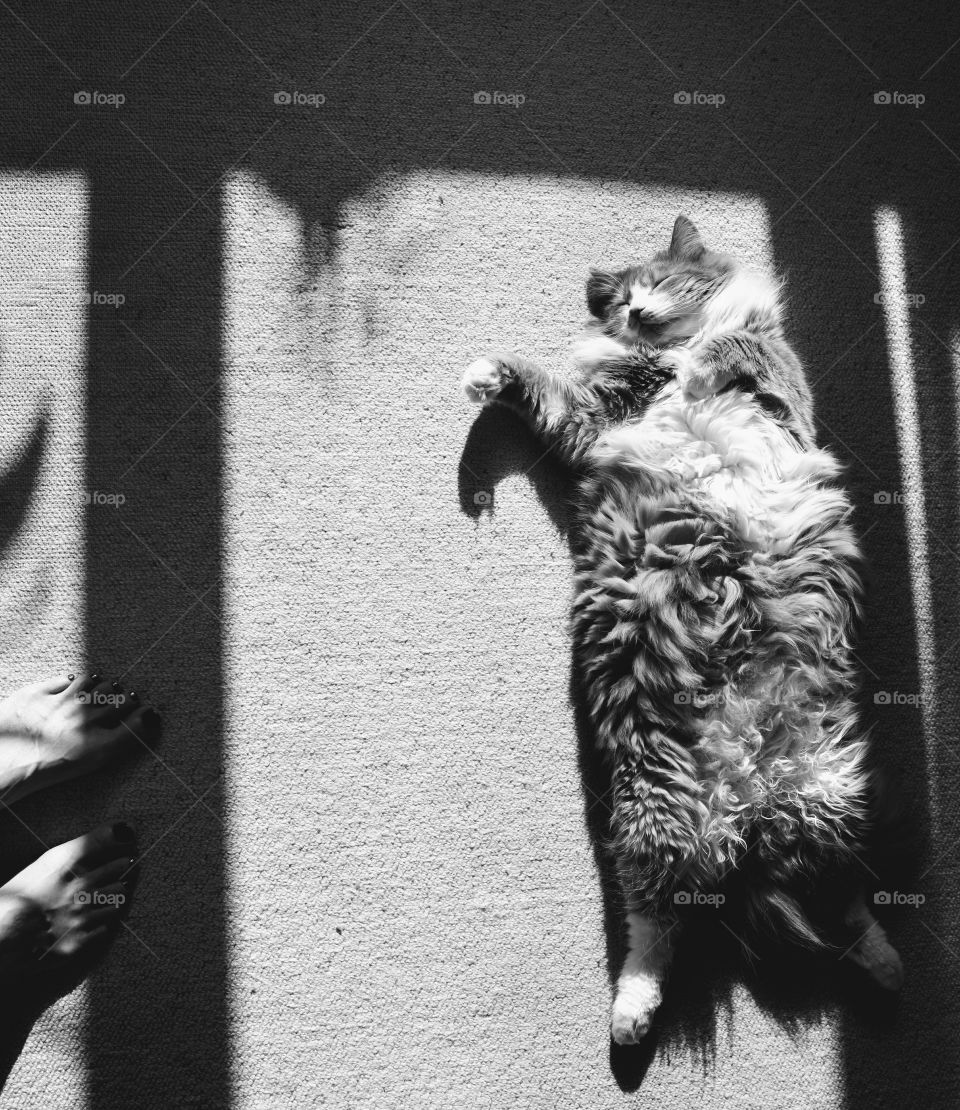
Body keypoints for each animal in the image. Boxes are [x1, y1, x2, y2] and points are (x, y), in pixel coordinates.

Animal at [461, 218, 901, 1047]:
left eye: (659, 285)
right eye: (621, 301)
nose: (635, 313)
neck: (667, 355)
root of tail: (748, 788)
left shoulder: (770, 376)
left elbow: (740, 352)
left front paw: (710, 353)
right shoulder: (593, 418)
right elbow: (535, 384)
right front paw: (482, 376)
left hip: (826, 789)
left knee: (844, 899)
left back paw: (888, 965)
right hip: (660, 797)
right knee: (657, 925)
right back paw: (631, 1015)